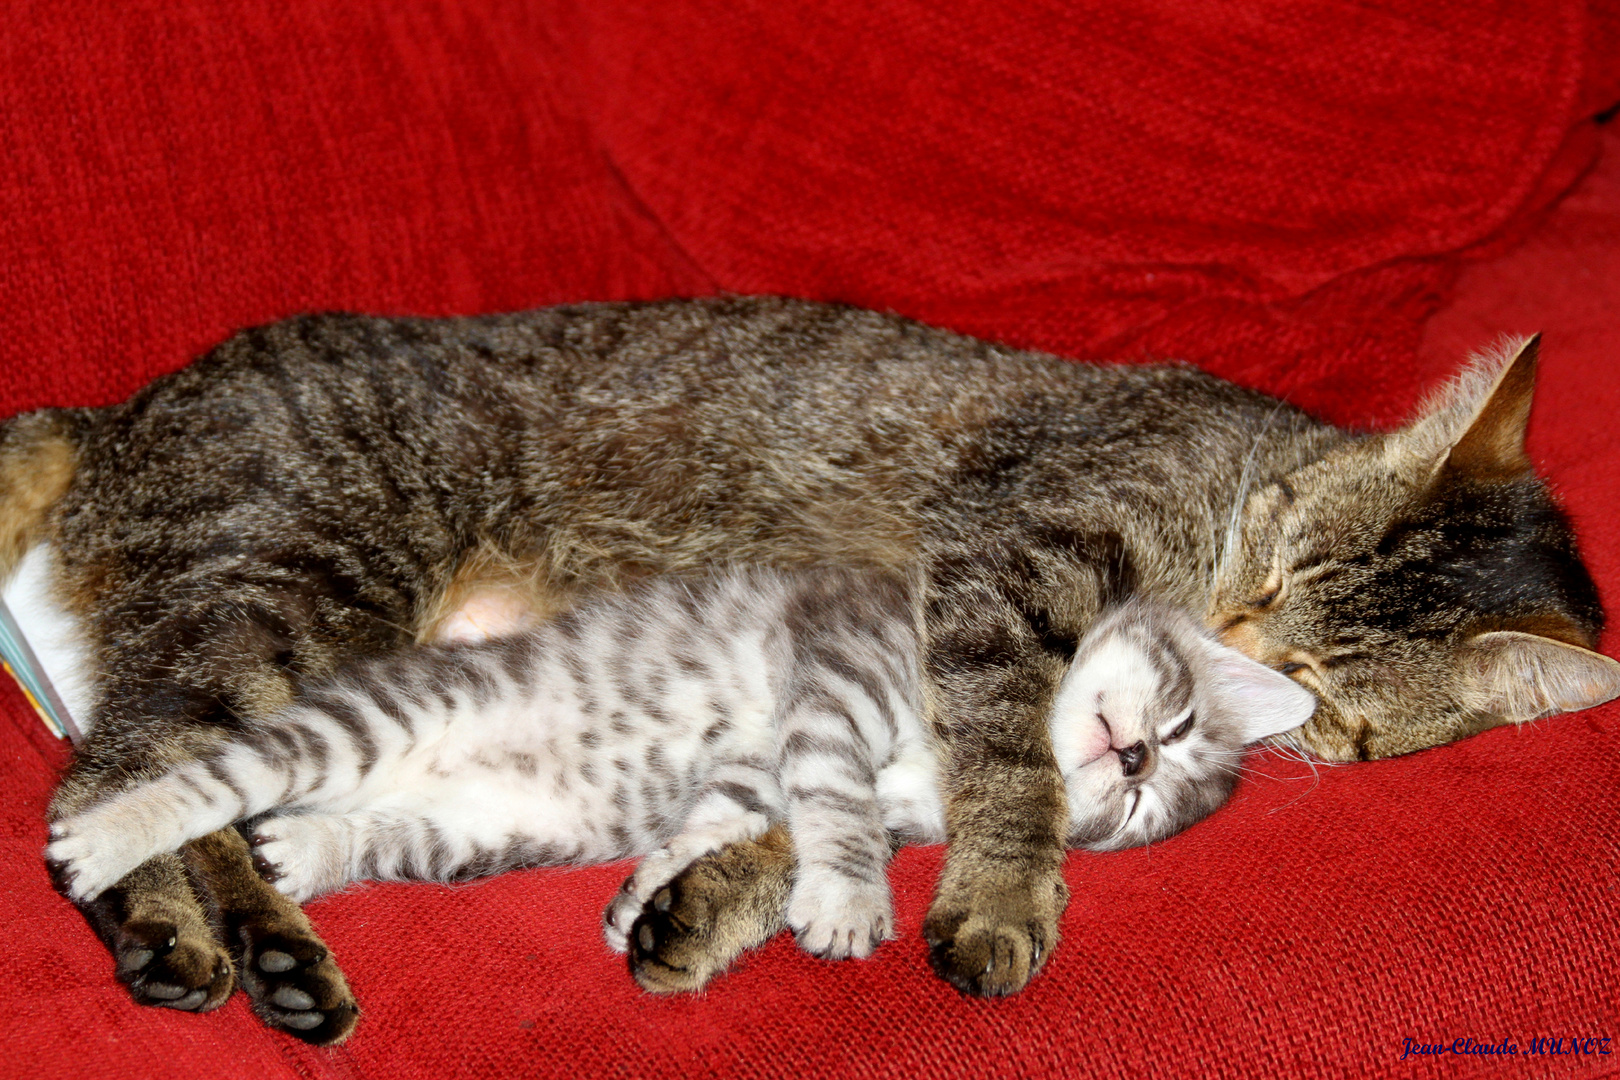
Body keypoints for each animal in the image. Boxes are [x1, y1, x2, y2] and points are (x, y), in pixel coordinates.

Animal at [44, 573, 1315, 997]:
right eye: (1179, 723)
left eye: (1141, 813)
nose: (1134, 765)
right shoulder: (836, 675)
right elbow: (840, 810)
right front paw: (848, 901)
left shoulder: (758, 759)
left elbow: (725, 820)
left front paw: (649, 891)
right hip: (350, 726)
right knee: (210, 776)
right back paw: (104, 842)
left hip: (471, 830)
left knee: (353, 827)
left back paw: (305, 851)